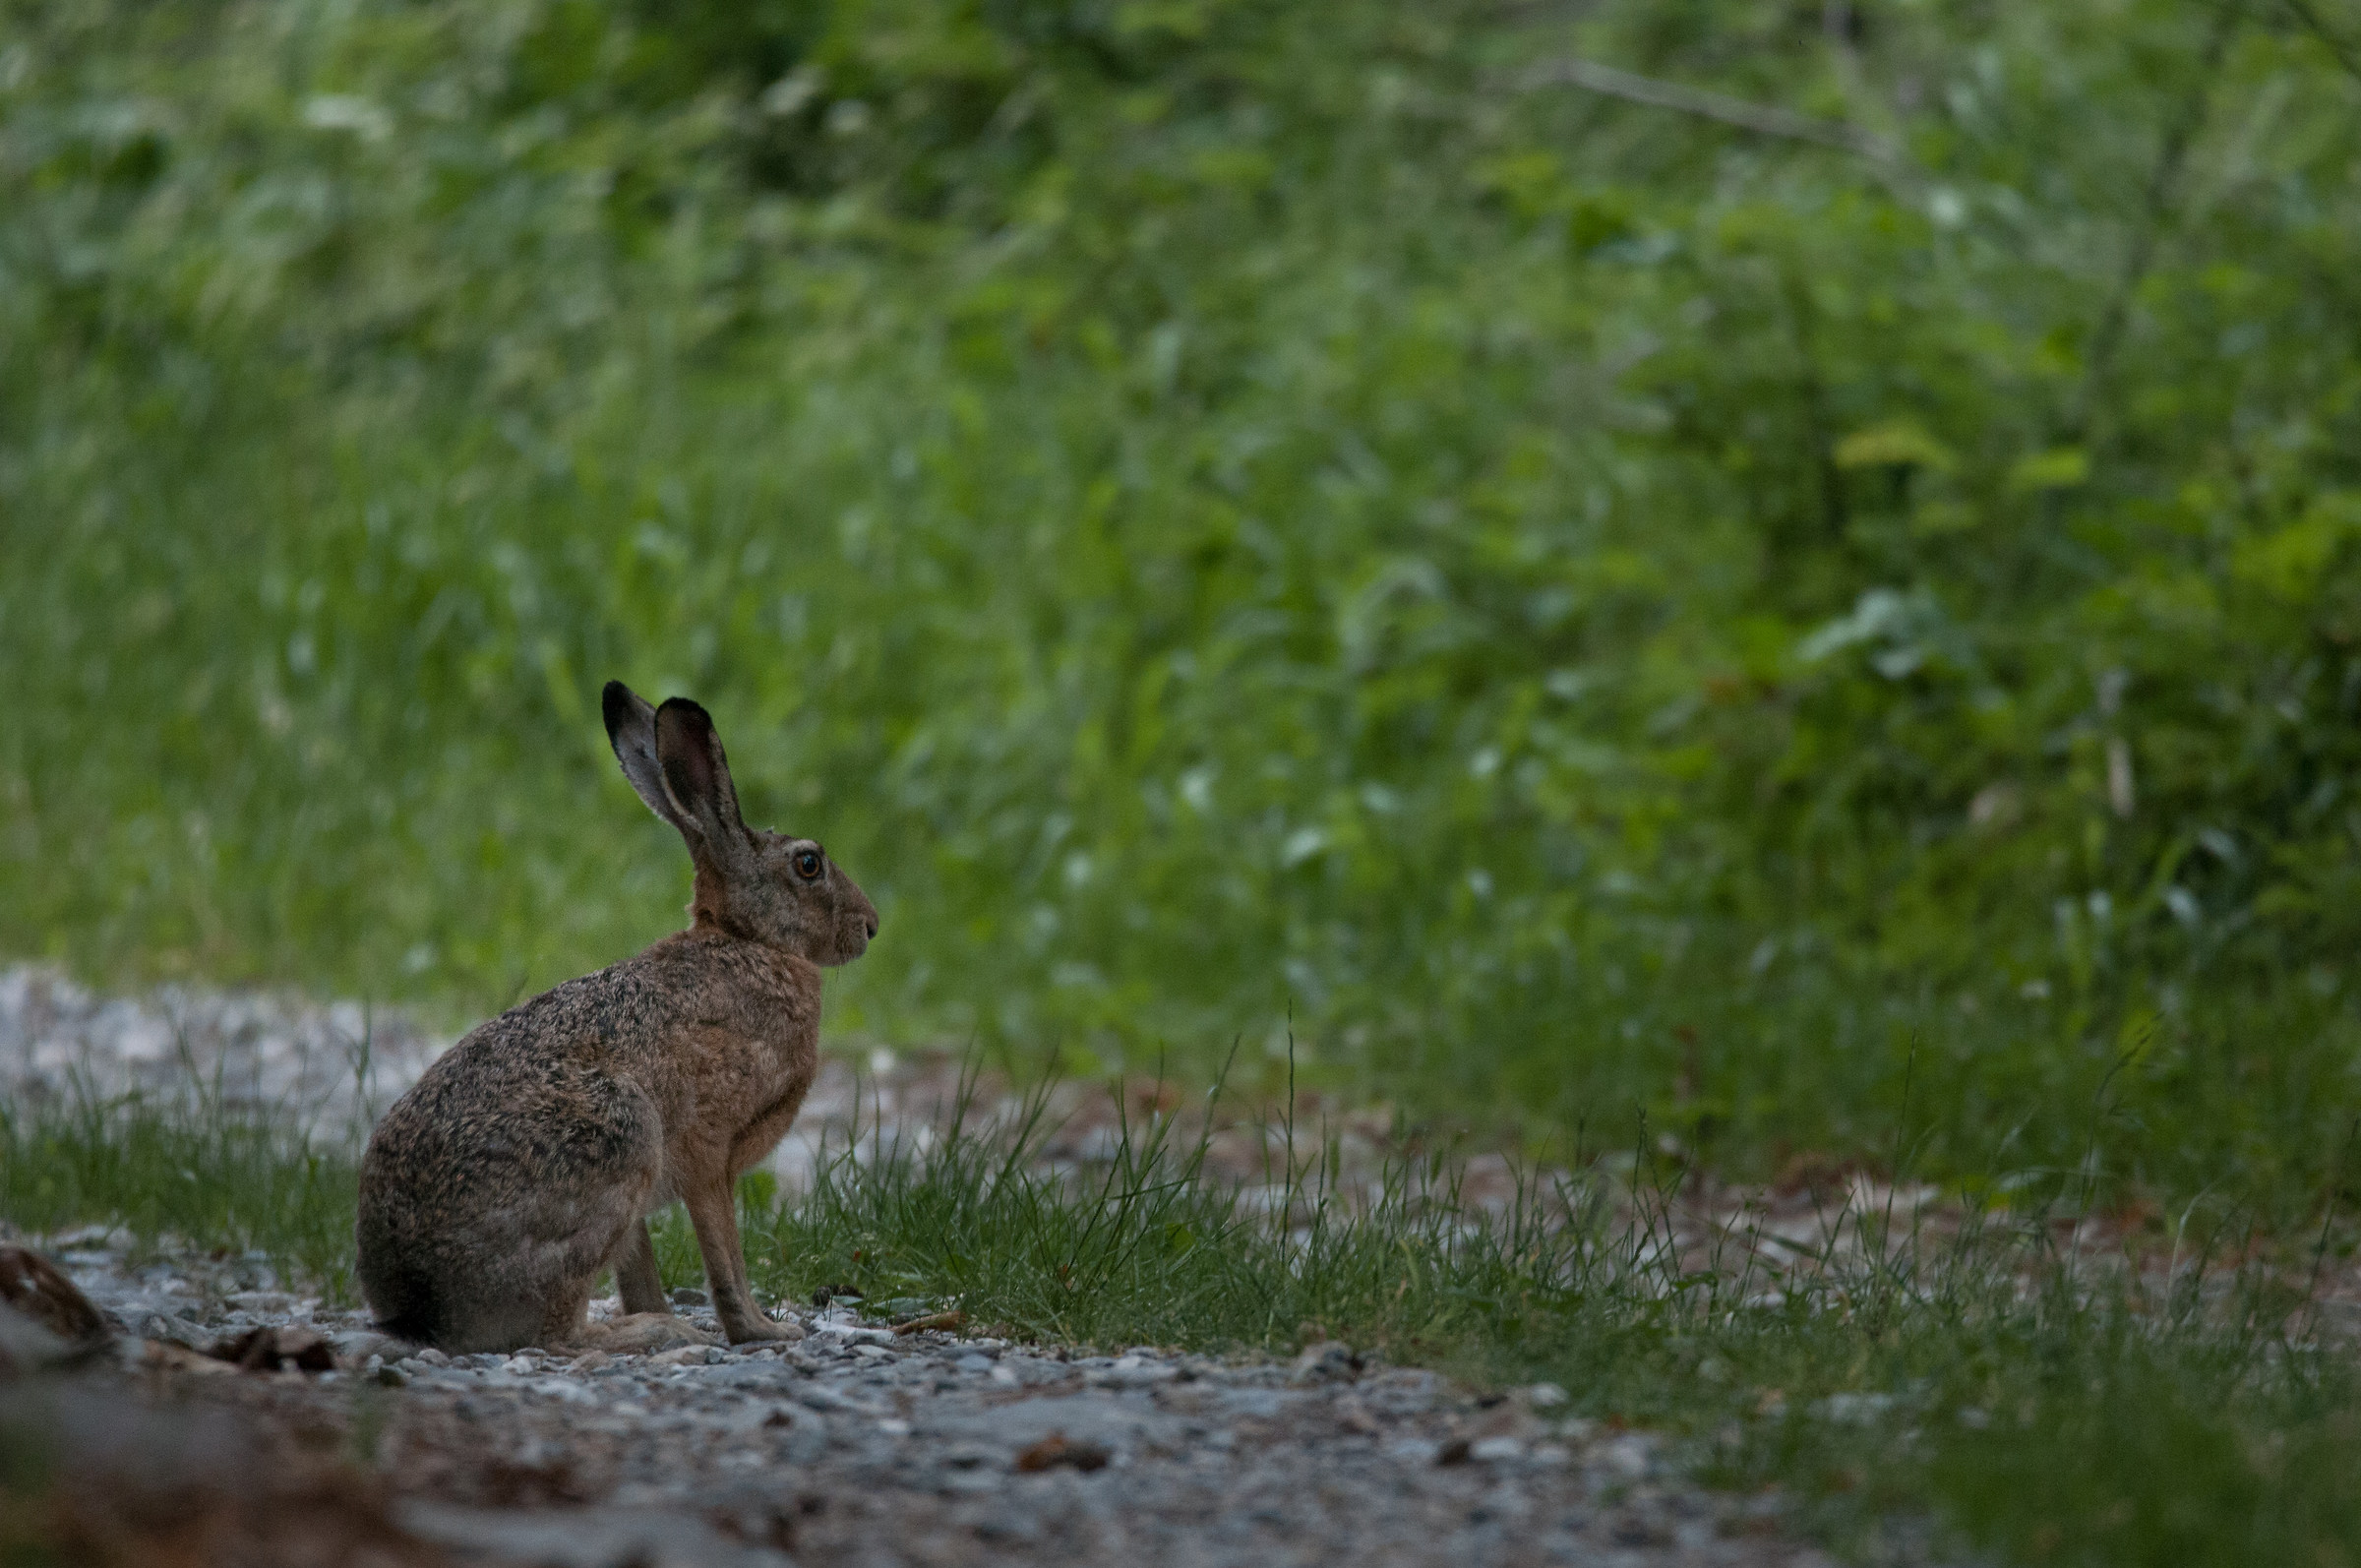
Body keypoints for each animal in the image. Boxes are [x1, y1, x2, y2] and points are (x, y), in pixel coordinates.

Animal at [354, 682, 877, 1353]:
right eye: (809, 864)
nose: (871, 926)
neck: (747, 942)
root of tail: (417, 1300)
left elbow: (645, 1268)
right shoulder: (706, 1149)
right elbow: (725, 1255)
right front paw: (762, 1330)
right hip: (620, 1137)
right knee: (558, 1334)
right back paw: (657, 1331)